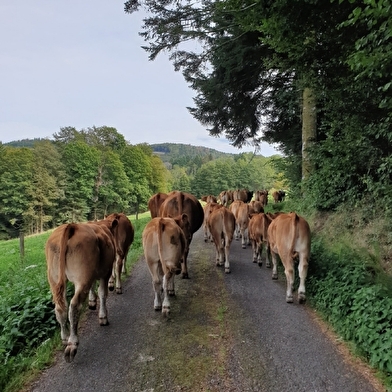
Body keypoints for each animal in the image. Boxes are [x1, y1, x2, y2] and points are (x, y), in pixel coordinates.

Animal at [46, 222, 116, 362]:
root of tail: (72, 226)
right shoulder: (105, 272)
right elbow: (102, 293)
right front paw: (103, 317)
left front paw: (92, 302)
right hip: (83, 277)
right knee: (74, 305)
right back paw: (72, 343)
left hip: (54, 278)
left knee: (60, 308)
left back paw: (65, 337)